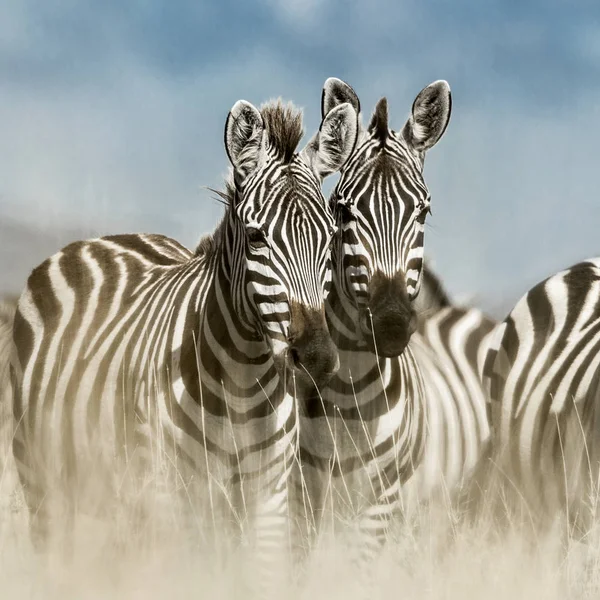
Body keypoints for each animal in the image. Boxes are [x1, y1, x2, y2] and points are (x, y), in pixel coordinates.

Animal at [10, 96, 356, 588]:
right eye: (256, 237)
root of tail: (99, 239)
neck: (242, 384)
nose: (315, 357)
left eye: (330, 237)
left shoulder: (267, 495)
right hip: (41, 474)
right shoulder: (167, 492)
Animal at [292, 76, 452, 568]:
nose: (391, 323)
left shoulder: (383, 501)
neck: (349, 396)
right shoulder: (302, 491)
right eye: (343, 211)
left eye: (423, 212)